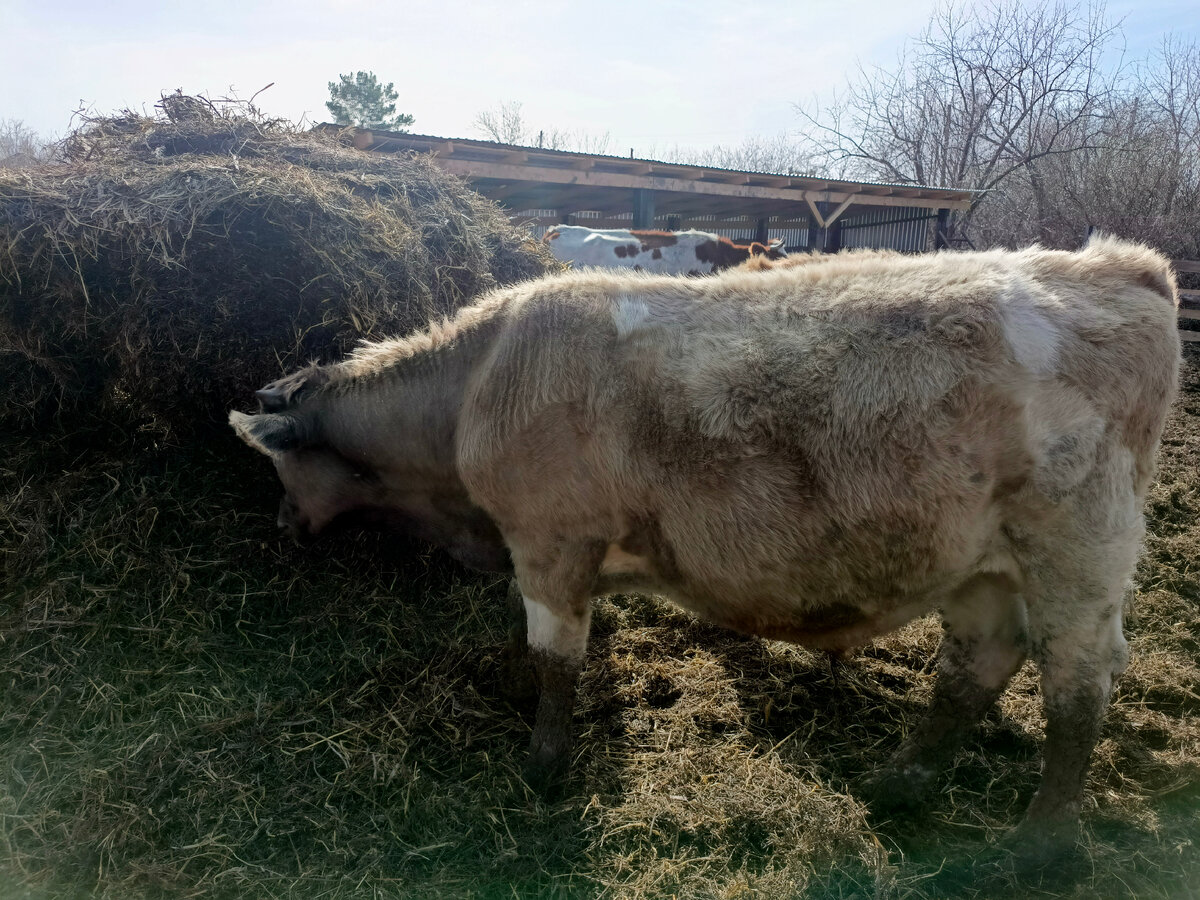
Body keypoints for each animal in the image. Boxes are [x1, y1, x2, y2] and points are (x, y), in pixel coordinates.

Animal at [231, 236, 1180, 864]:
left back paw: (1040, 846)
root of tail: (1118, 264)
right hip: (984, 562)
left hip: (1079, 553)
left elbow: (556, 660)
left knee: (1077, 687)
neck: (476, 384)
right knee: (979, 660)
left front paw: (541, 767)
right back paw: (900, 781)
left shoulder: (551, 543)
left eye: (277, 464)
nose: (280, 525)